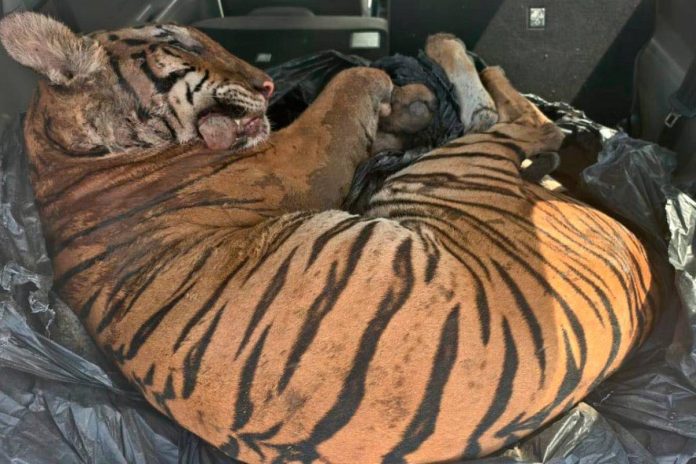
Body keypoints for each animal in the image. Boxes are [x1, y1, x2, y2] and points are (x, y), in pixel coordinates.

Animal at [0, 12, 660, 464]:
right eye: (181, 43)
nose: (268, 85)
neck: (68, 153)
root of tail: (643, 266)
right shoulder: (294, 156)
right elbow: (357, 79)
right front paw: (405, 91)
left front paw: (406, 105)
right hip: (457, 165)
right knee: (520, 122)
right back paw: (450, 52)